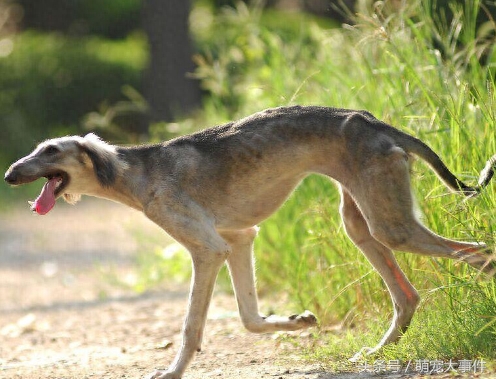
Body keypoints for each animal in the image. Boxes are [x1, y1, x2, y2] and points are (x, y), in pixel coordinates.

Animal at [4, 106, 496, 379]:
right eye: (37, 148)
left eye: (51, 151)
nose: (9, 174)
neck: (136, 171)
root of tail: (375, 121)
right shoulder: (239, 241)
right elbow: (249, 318)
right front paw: (297, 321)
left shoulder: (208, 250)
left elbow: (192, 327)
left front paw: (172, 372)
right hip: (363, 225)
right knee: (407, 296)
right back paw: (376, 352)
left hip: (390, 226)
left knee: (480, 253)